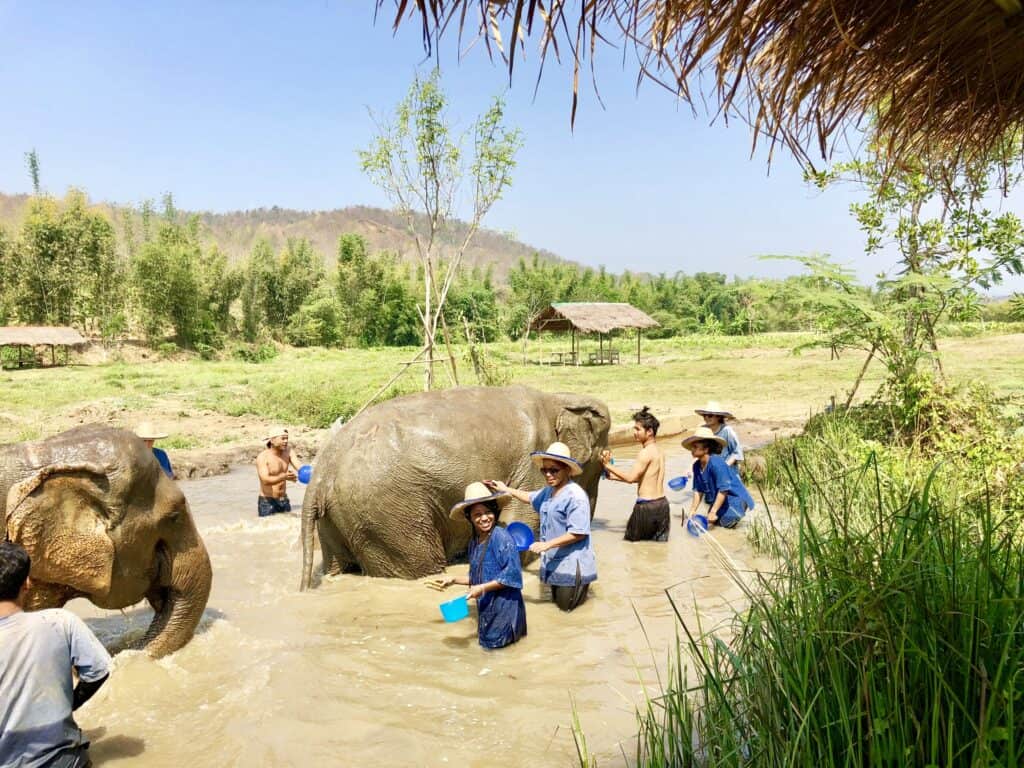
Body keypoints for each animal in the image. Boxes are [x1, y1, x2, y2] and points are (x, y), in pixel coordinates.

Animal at [300, 385, 610, 586]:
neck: (558, 398)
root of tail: (321, 472)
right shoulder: (532, 460)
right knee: (419, 566)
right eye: (602, 458)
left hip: (341, 518)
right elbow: (520, 522)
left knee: (337, 565)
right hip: (386, 513)